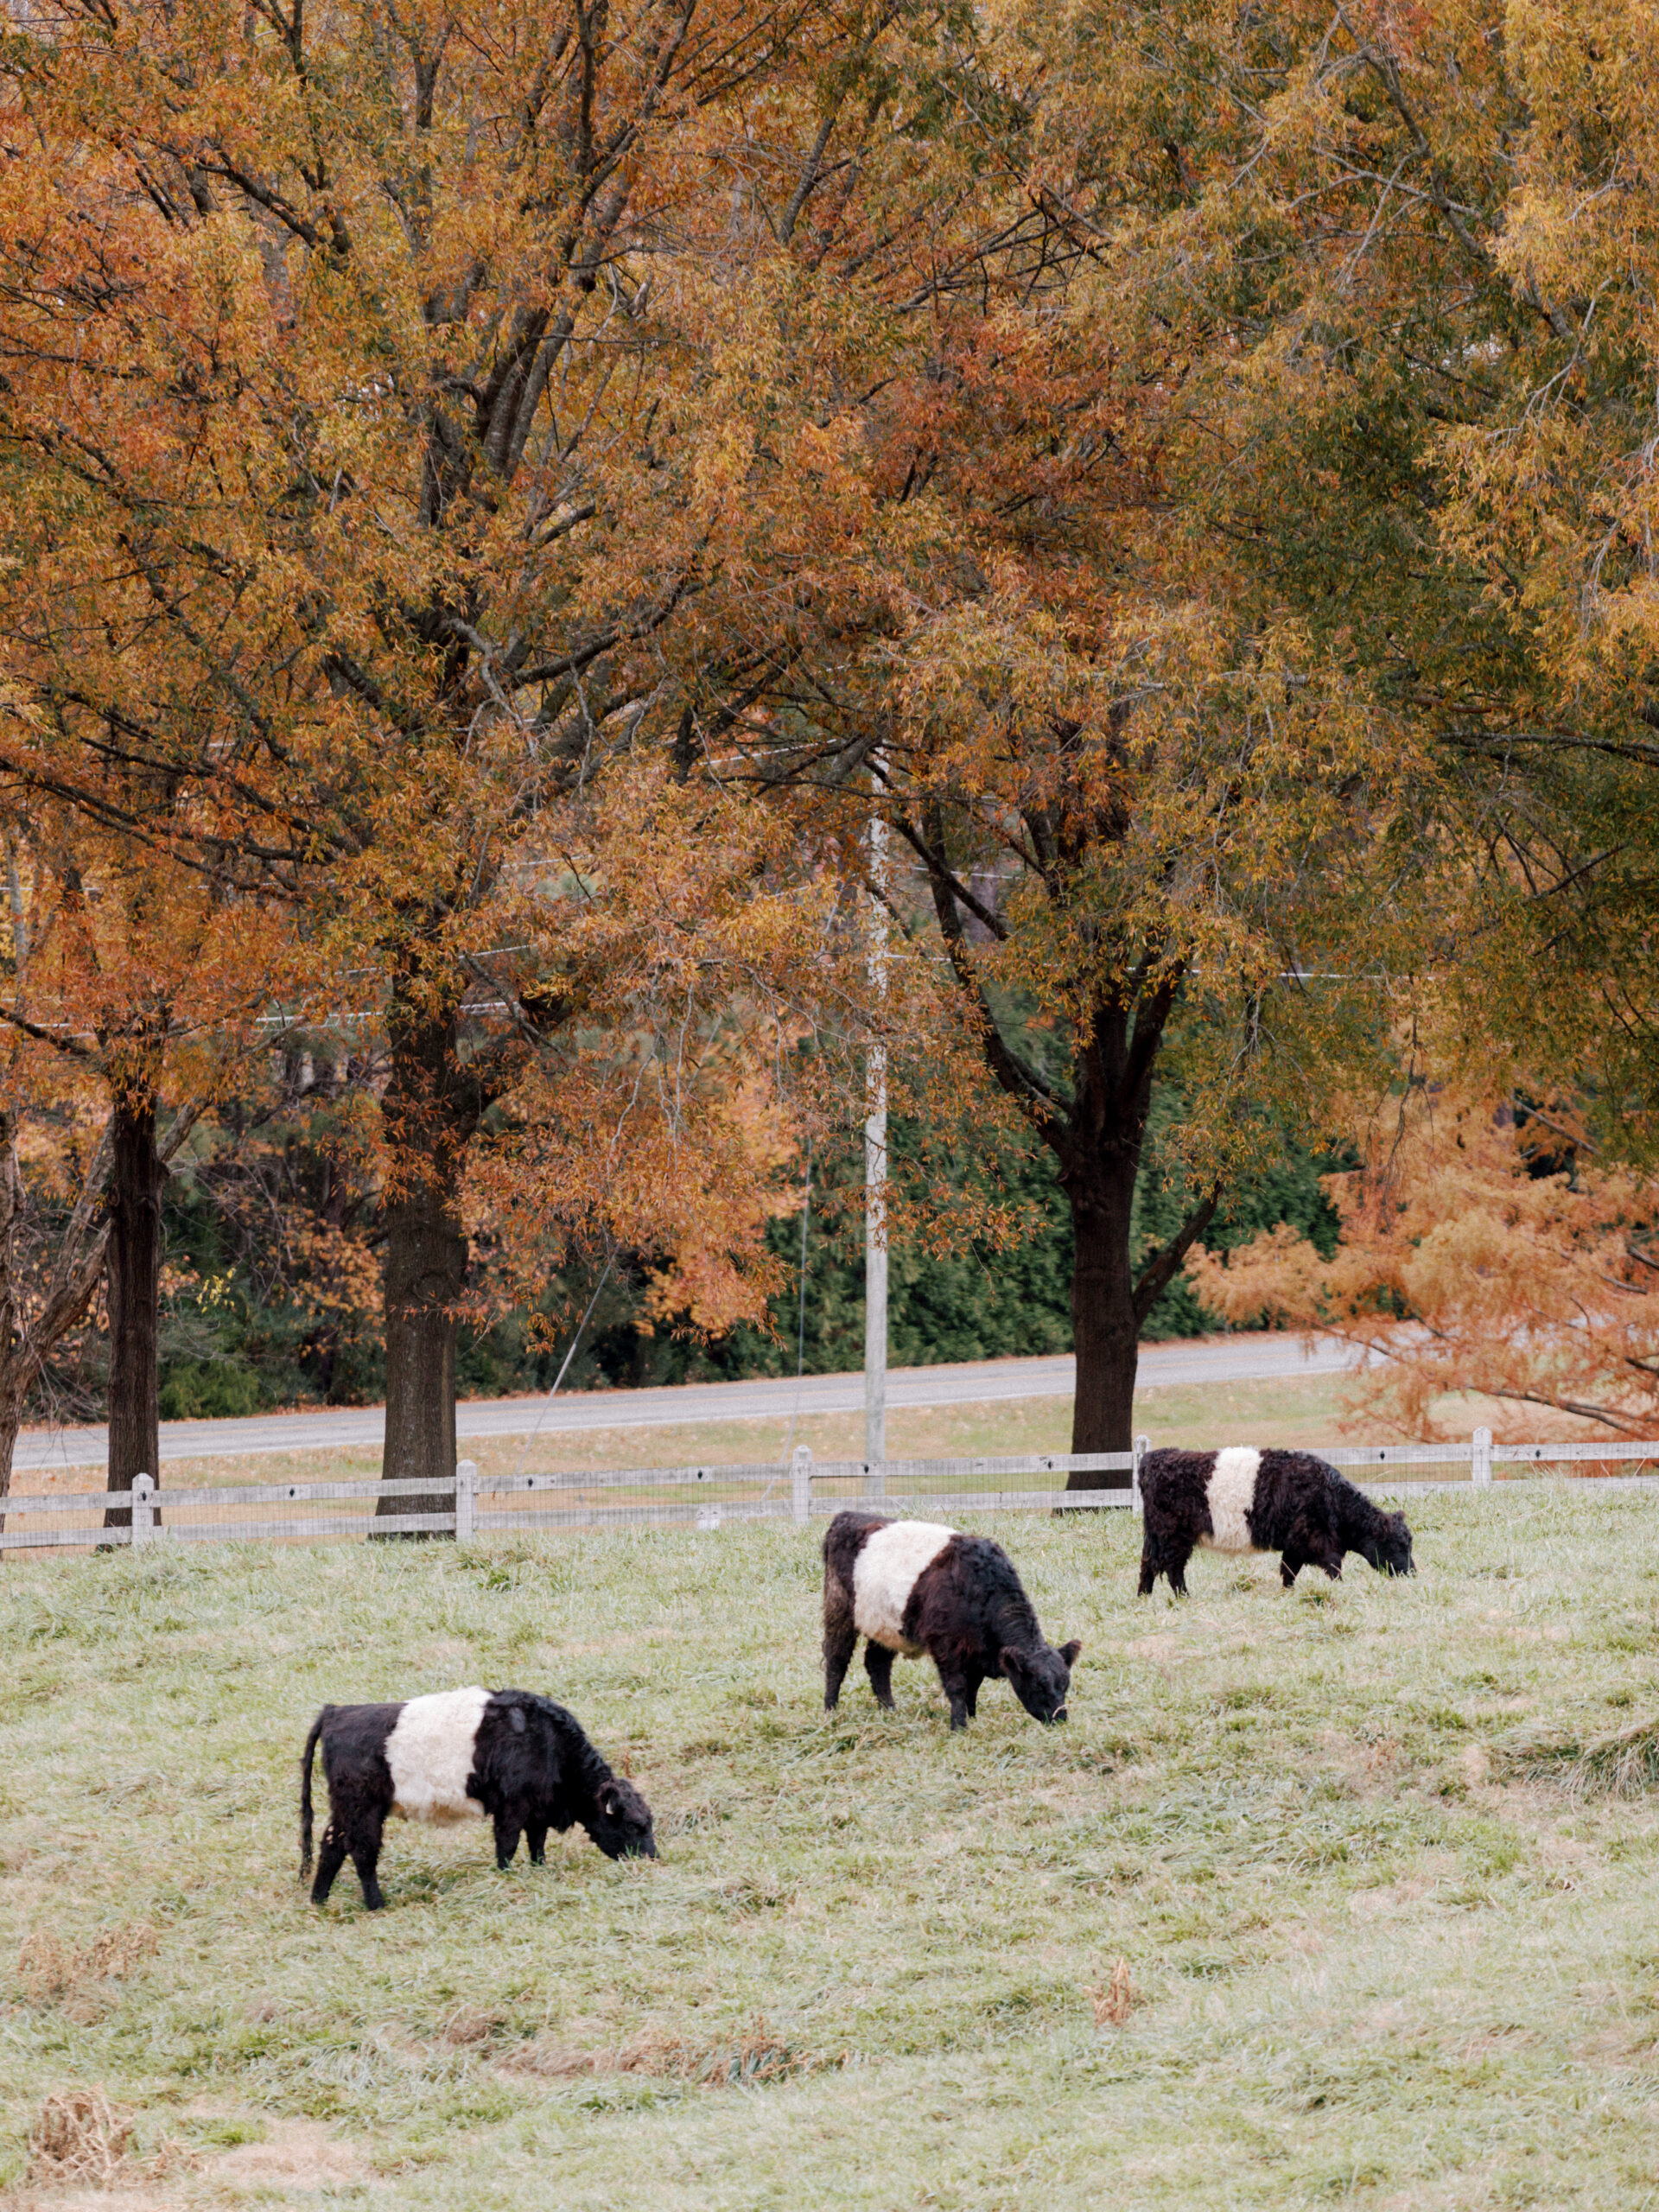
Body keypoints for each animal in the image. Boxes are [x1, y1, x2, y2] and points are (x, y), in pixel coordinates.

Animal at [302, 1681, 658, 1910]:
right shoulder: (512, 1807)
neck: (545, 1741)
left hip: (345, 1808)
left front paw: (539, 1872)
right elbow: (508, 1844)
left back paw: (319, 1900)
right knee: (362, 1851)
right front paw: (505, 1877)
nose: (653, 1859)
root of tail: (336, 1712)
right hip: (363, 1807)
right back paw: (376, 1904)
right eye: (633, 1824)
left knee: (331, 1844)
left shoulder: (537, 1811)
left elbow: (537, 1844)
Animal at [827, 1522, 1084, 1725]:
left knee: (877, 1663)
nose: (1060, 1718)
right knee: (837, 1659)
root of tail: (846, 1518)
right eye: (1038, 1685)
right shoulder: (946, 1647)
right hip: (839, 1609)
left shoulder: (976, 1653)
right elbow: (957, 1686)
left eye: (1065, 1685)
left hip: (887, 1626)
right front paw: (959, 1726)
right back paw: (830, 1710)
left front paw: (972, 1717)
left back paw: (889, 1710)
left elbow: (972, 1687)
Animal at [1141, 1442, 1415, 1601]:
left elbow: (1288, 1571)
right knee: (1172, 1568)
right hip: (1173, 1536)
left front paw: (1286, 1594)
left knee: (1148, 1564)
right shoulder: (1317, 1540)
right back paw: (1184, 1598)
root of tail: (1152, 1459)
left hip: (1154, 1535)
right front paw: (1340, 1589)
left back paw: (1143, 1597)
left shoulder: (1296, 1545)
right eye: (1398, 1545)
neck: (1330, 1496)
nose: (1411, 1573)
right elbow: (1332, 1568)